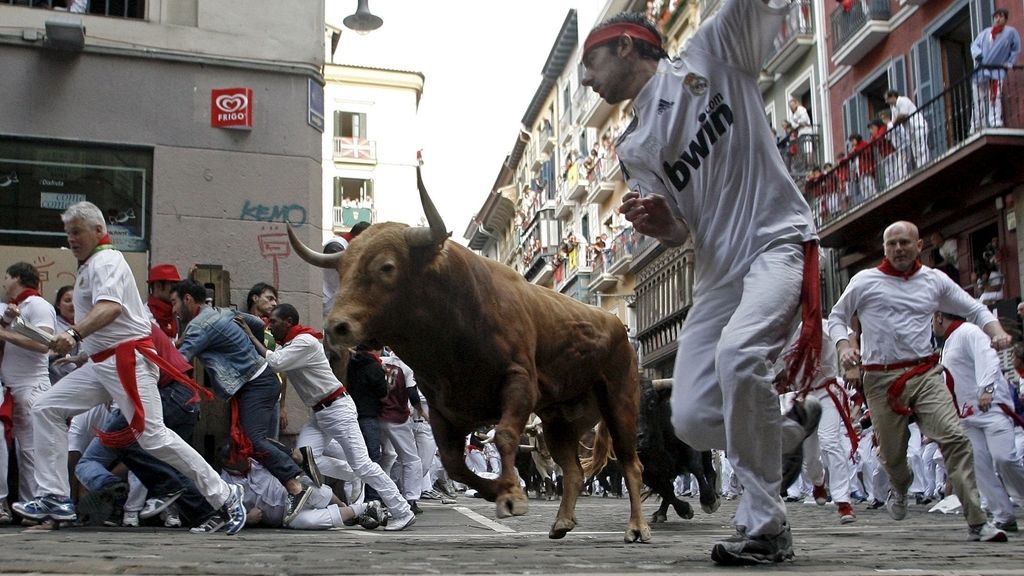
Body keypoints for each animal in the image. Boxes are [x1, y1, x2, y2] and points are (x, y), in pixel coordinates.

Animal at [288, 168, 651, 541]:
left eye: (386, 267)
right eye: (342, 270)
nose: (337, 326)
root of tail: (613, 323)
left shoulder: (519, 382)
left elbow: (503, 435)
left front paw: (512, 495)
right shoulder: (443, 410)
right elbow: (454, 465)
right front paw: (501, 490)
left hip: (619, 401)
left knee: (630, 463)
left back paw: (637, 527)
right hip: (558, 420)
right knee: (574, 471)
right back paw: (562, 521)